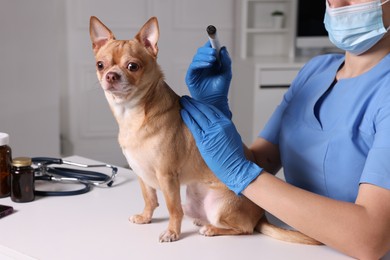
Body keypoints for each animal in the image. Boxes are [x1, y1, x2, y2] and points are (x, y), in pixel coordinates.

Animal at [89, 15, 320, 245]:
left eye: (132, 66)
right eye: (100, 65)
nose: (111, 75)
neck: (132, 115)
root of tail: (261, 215)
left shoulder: (167, 177)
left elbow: (173, 209)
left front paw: (172, 232)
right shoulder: (142, 174)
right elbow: (150, 199)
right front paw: (146, 217)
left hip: (220, 207)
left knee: (244, 229)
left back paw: (212, 229)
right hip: (193, 196)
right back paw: (202, 221)